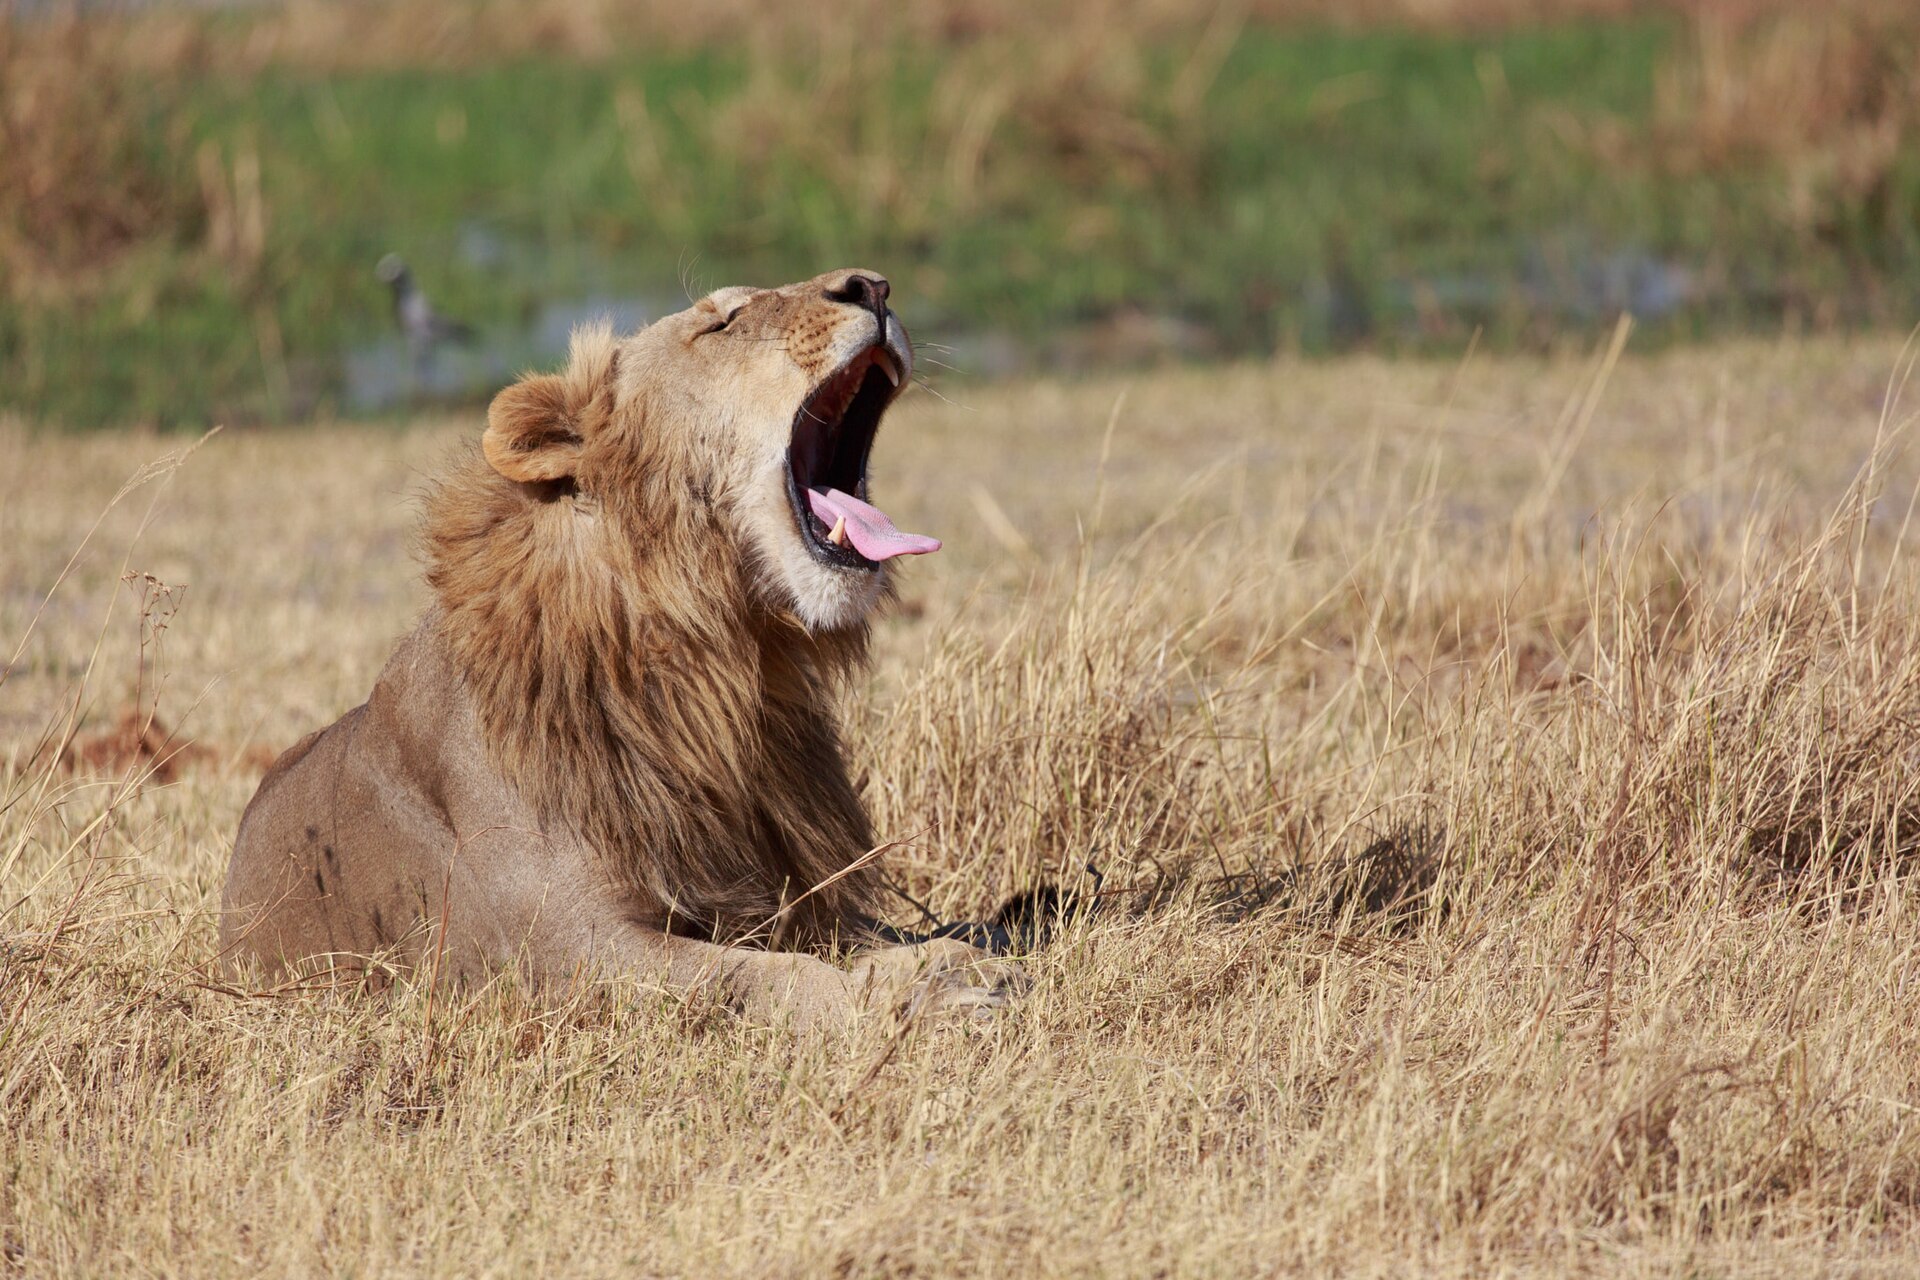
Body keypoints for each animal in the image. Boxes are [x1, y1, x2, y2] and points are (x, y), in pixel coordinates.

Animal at [220, 269, 1022, 1027]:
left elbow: (871, 936)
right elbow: (757, 976)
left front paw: (956, 952)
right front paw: (913, 997)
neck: (717, 655)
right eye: (723, 322)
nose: (874, 287)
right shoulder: (565, 948)